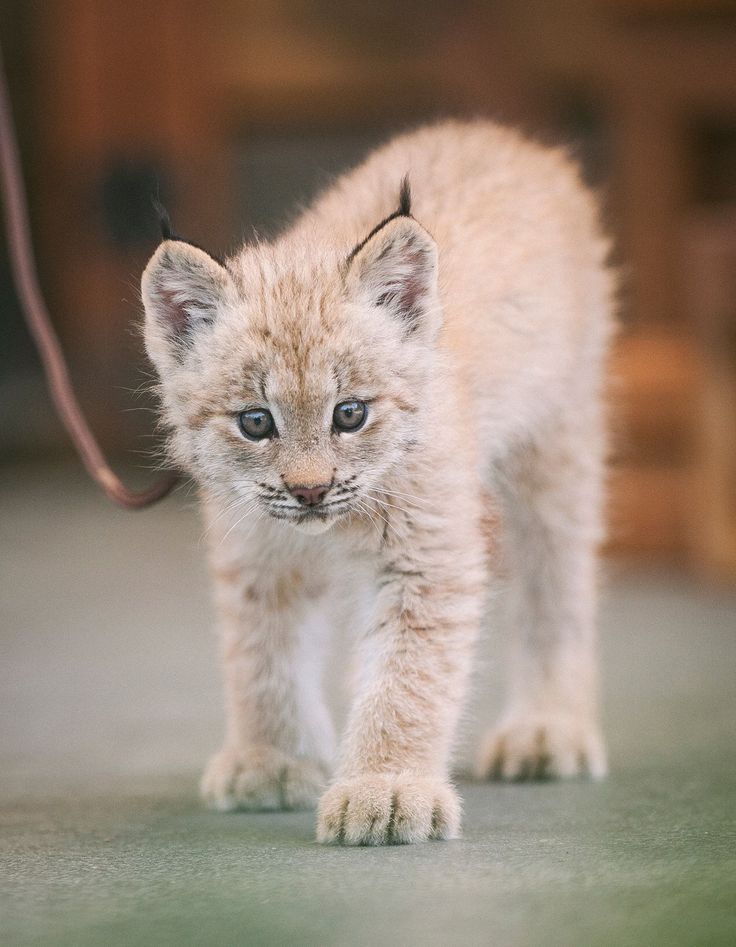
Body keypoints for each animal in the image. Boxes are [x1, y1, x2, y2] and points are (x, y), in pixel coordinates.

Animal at [141, 118, 612, 844]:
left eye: (350, 414)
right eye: (255, 422)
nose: (309, 490)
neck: (333, 523)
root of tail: (493, 132)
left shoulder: (427, 552)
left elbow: (407, 678)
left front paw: (386, 785)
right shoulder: (256, 545)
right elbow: (259, 653)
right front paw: (271, 756)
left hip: (556, 440)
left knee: (555, 580)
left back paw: (547, 727)